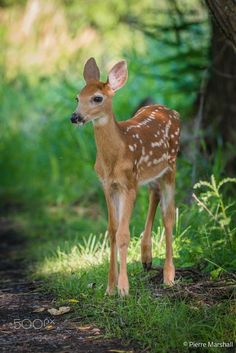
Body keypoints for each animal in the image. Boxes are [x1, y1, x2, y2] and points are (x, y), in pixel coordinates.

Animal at [71, 57, 180, 294]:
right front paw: (110, 287)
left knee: (168, 215)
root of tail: (170, 110)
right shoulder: (108, 185)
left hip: (170, 166)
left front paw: (123, 289)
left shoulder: (128, 183)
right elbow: (112, 231)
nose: (75, 117)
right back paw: (146, 257)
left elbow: (123, 234)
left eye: (97, 98)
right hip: (150, 173)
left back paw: (169, 275)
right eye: (77, 97)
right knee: (155, 194)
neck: (114, 157)